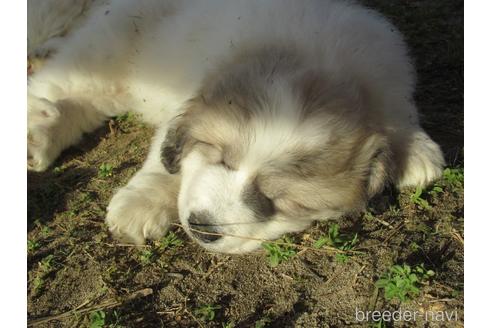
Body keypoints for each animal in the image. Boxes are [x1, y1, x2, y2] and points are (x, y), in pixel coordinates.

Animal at [27, 0, 446, 254]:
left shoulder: (386, 70)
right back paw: (36, 135)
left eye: (280, 201)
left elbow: (399, 111)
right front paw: (140, 204)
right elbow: (164, 162)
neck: (313, 57)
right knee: (59, 87)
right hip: (108, 49)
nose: (203, 228)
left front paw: (415, 152)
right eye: (222, 160)